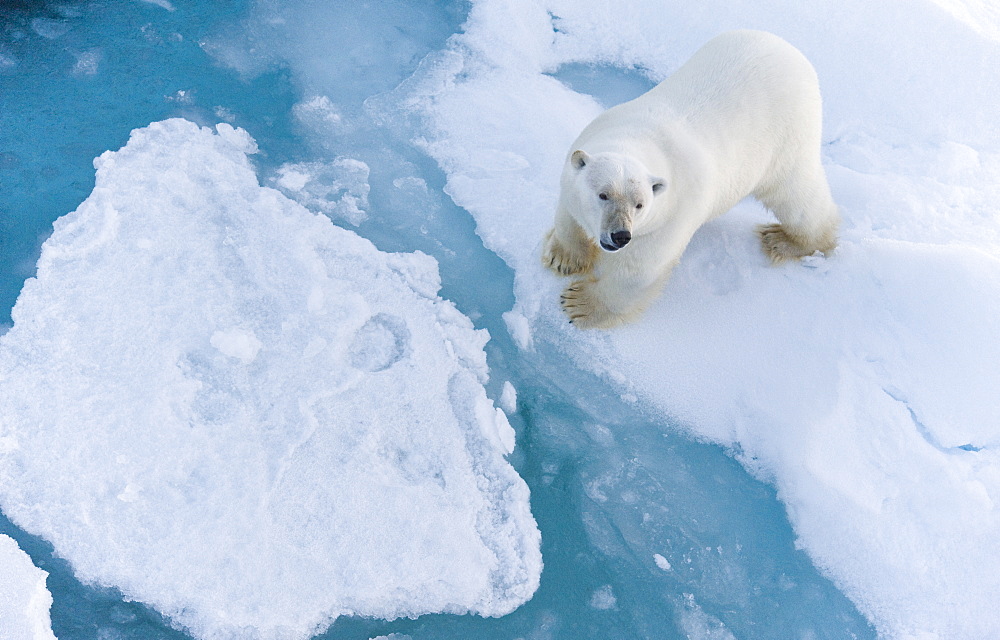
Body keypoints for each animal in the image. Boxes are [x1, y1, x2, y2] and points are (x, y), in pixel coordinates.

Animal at [544, 31, 840, 330]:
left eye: (640, 205)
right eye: (603, 195)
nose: (620, 236)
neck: (639, 138)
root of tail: (790, 51)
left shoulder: (671, 214)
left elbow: (639, 270)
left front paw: (579, 304)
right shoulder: (577, 160)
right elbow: (568, 214)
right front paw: (564, 259)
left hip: (786, 137)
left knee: (796, 197)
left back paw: (784, 240)